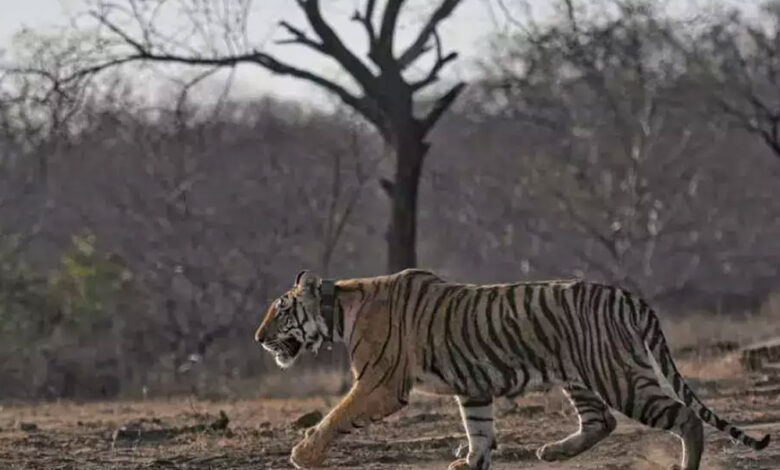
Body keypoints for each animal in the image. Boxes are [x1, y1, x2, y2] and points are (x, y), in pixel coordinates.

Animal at [254, 268, 768, 470]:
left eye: (280, 311)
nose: (258, 338)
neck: (339, 310)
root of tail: (627, 295)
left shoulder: (379, 382)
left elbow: (336, 415)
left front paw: (303, 454)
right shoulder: (472, 386)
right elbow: (479, 428)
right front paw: (470, 462)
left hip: (617, 376)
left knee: (684, 416)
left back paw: (685, 465)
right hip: (580, 376)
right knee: (600, 421)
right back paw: (552, 453)